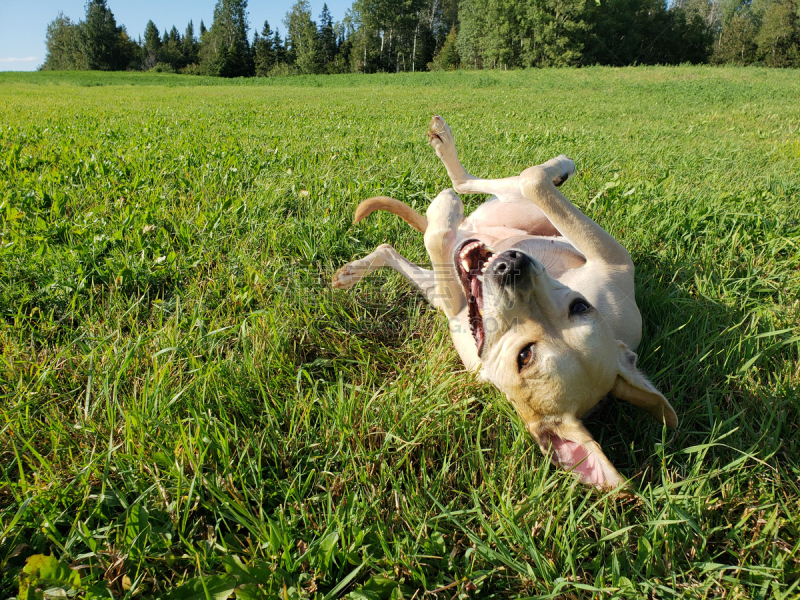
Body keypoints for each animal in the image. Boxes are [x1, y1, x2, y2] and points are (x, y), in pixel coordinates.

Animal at [334, 116, 680, 488]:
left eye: (523, 357)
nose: (512, 264)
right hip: (519, 213)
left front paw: (443, 214)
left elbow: (444, 239)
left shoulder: (459, 309)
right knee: (508, 185)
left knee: (492, 190)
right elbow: (528, 182)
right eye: (580, 306)